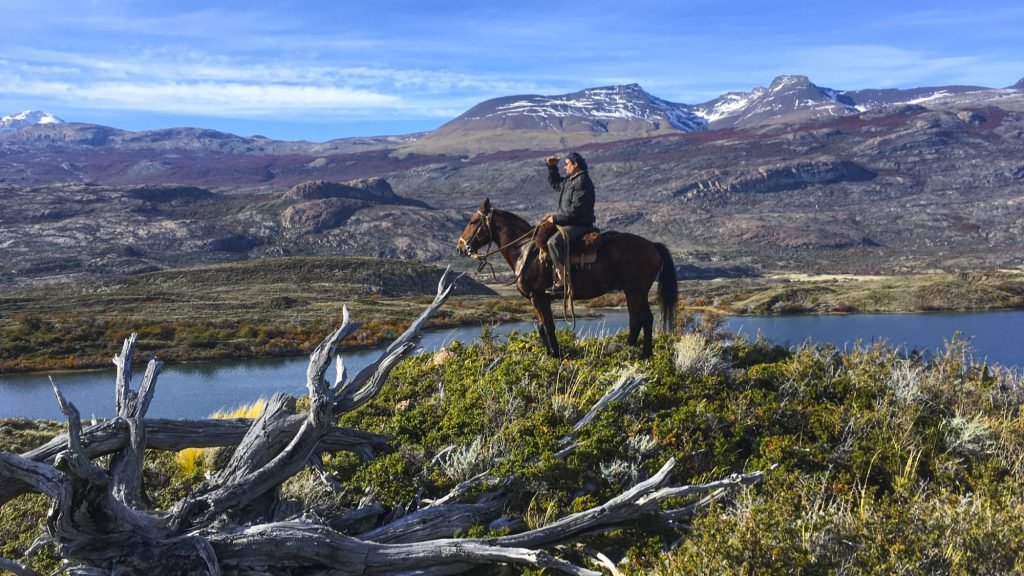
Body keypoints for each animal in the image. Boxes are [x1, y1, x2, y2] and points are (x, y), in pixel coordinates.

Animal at [460, 199, 675, 356]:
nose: (460, 247)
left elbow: (548, 326)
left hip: (634, 290)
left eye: (473, 222)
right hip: (639, 291)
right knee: (644, 319)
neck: (524, 251)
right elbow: (541, 326)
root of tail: (653, 246)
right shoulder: (537, 299)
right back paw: (641, 353)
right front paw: (550, 354)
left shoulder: (539, 297)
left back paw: (634, 353)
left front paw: (556, 355)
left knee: (638, 319)